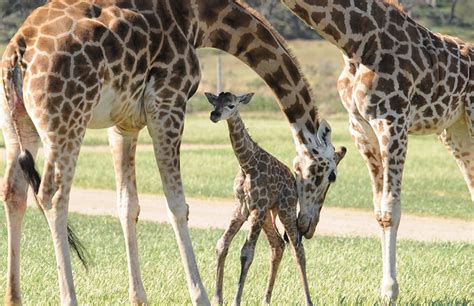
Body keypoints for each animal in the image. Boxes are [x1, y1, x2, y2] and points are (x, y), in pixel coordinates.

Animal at [205, 92, 312, 306]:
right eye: (215, 102)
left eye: (231, 105)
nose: (214, 115)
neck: (247, 164)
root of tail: (293, 181)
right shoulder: (241, 207)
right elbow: (222, 244)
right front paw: (217, 298)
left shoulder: (258, 207)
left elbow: (246, 253)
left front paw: (235, 301)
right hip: (268, 215)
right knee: (278, 245)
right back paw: (266, 299)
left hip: (285, 209)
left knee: (297, 249)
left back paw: (308, 300)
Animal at [280, 0, 472, 302]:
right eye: (295, 168)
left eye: (328, 177)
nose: (303, 226)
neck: (355, 42)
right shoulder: (360, 127)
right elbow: (378, 210)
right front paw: (384, 289)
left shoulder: (392, 122)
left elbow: (390, 209)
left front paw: (391, 290)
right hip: (455, 131)